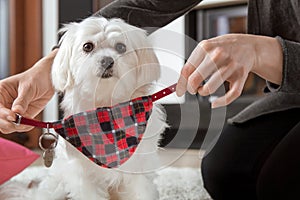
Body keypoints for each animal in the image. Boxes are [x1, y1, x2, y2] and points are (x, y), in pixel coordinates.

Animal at [0, 17, 168, 200]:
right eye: (87, 46)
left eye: (121, 47)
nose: (107, 60)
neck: (105, 112)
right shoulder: (82, 172)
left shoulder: (139, 167)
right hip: (57, 187)